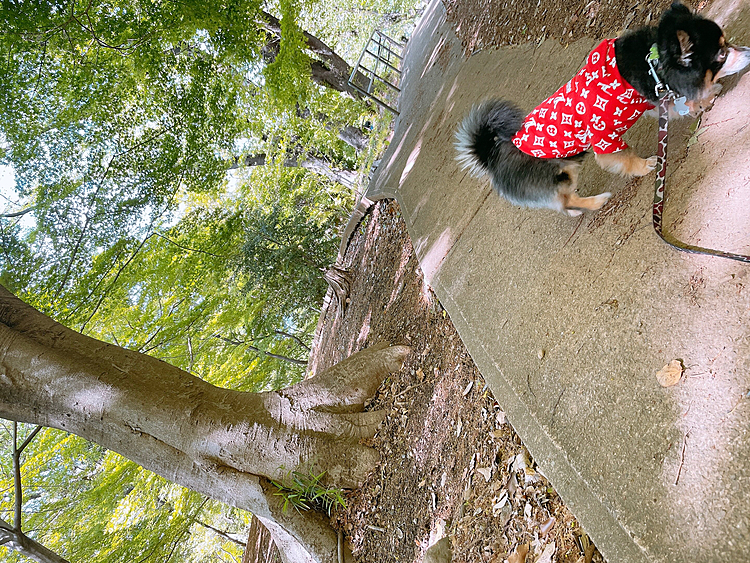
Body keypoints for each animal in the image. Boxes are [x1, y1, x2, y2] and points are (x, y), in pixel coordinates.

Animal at [456, 1, 750, 216]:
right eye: (721, 54)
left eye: (727, 43)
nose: (748, 51)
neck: (653, 64)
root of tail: (491, 156)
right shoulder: (605, 139)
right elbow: (627, 157)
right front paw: (645, 165)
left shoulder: (653, 100)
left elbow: (677, 105)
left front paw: (704, 98)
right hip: (560, 176)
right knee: (566, 201)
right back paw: (595, 202)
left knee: (564, 206)